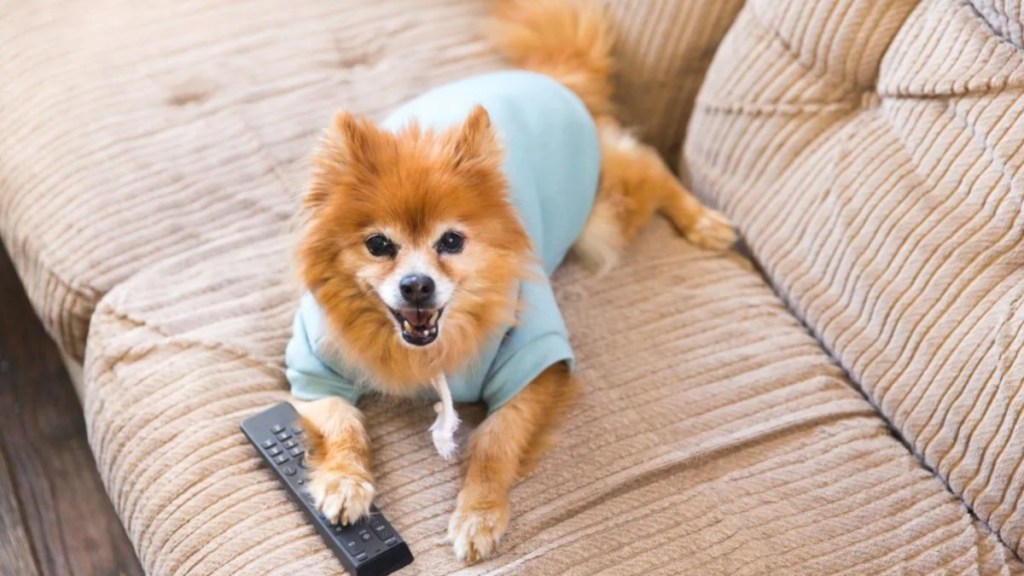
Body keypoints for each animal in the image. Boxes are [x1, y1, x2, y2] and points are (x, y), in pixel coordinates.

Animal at [288, 0, 737, 561]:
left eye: (451, 242)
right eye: (378, 245)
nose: (416, 285)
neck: (426, 353)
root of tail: (550, 76)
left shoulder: (536, 364)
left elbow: (495, 440)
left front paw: (478, 513)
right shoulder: (313, 367)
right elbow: (341, 425)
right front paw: (345, 483)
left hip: (606, 215)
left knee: (652, 163)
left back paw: (703, 221)